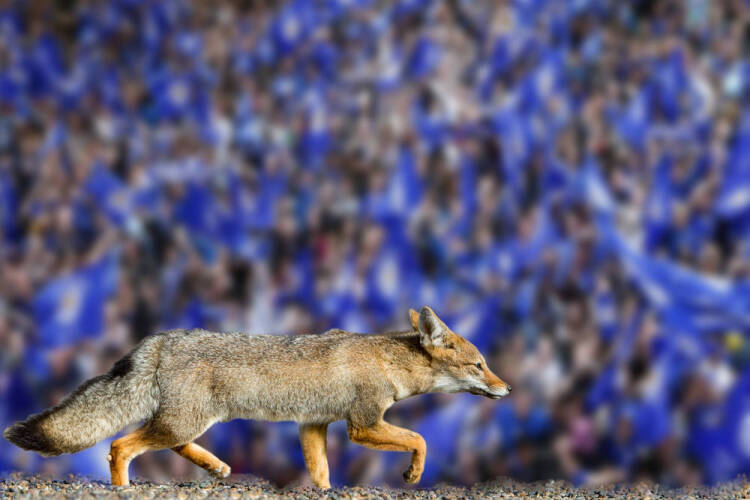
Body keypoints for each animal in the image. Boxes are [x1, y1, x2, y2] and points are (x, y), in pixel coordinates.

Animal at [4, 304, 512, 488]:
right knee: (119, 445)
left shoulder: (313, 425)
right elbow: (420, 439)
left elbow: (321, 474)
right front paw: (412, 473)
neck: (389, 360)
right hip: (183, 420)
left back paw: (216, 467)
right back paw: (123, 488)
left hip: (191, 420)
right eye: (479, 365)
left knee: (167, 444)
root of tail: (159, 339)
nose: (507, 388)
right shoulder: (363, 425)